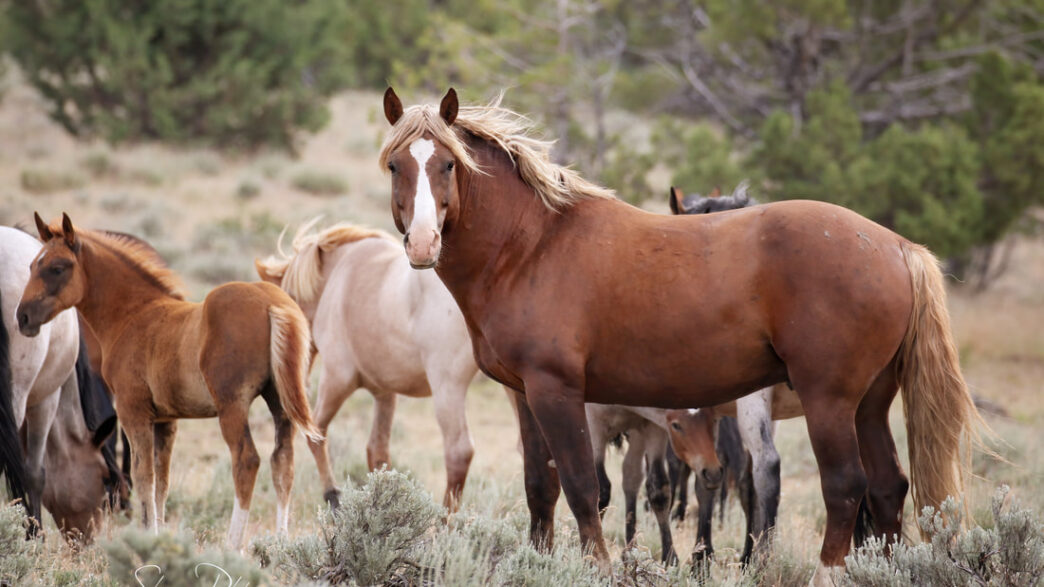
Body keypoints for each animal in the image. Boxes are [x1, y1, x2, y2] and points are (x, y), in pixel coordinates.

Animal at [15, 214, 317, 547]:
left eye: (57, 267)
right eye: (32, 265)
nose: (23, 317)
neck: (134, 314)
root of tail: (273, 304)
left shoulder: (133, 412)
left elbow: (143, 476)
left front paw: (147, 538)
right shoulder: (165, 420)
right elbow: (162, 480)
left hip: (232, 406)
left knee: (246, 461)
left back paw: (232, 546)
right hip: (280, 403)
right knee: (283, 462)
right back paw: (281, 543)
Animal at [256, 219, 478, 507]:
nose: (296, 382)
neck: (338, 273)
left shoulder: (337, 379)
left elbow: (317, 433)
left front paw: (333, 496)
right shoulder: (385, 393)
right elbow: (378, 453)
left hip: (447, 388)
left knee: (458, 452)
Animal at [380, 86, 981, 576]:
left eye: (448, 165)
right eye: (394, 166)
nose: (423, 243)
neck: (532, 245)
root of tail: (897, 246)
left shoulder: (558, 393)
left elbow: (580, 488)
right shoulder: (524, 396)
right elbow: (540, 487)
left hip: (829, 401)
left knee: (844, 487)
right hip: (869, 404)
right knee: (886, 488)